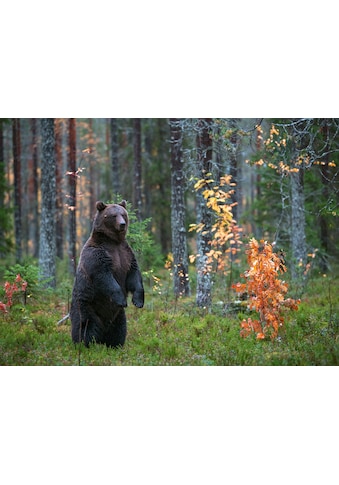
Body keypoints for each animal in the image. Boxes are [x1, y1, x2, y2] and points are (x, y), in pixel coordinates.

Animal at [70, 199, 145, 346]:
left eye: (123, 214)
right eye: (113, 215)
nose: (122, 224)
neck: (113, 241)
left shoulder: (126, 255)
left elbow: (134, 275)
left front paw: (138, 301)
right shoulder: (97, 255)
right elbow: (104, 277)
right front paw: (122, 300)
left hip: (117, 316)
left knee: (119, 329)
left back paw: (114, 344)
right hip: (86, 307)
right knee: (85, 326)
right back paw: (84, 344)